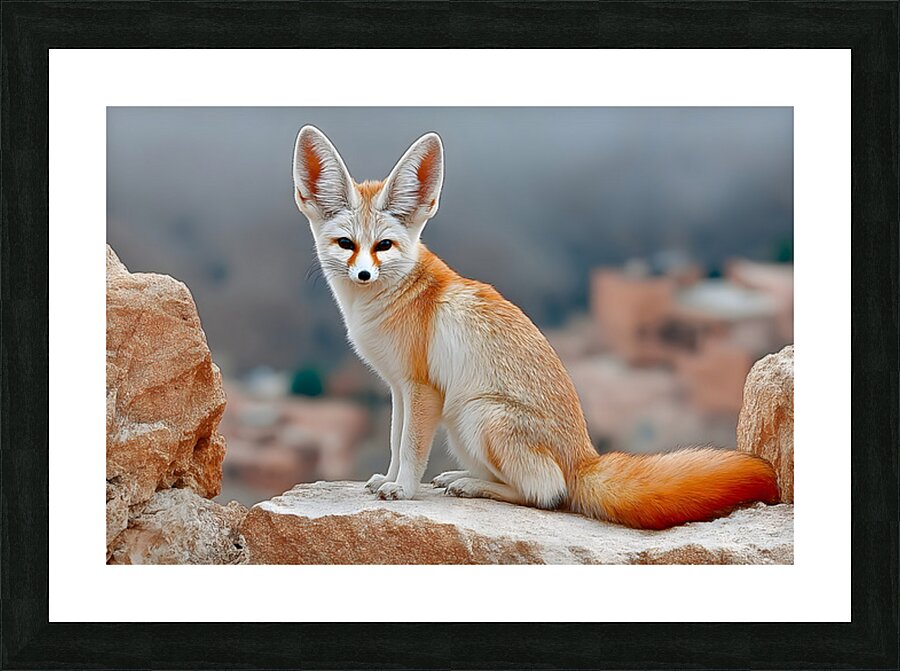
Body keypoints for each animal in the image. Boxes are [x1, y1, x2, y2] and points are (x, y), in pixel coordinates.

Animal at [291, 125, 780, 530]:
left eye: (384, 246)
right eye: (346, 244)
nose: (363, 275)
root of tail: (585, 458)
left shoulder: (421, 389)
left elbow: (411, 449)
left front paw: (404, 491)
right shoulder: (398, 388)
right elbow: (396, 445)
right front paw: (386, 481)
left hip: (475, 414)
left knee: (546, 495)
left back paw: (477, 485)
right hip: (462, 422)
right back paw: (465, 478)